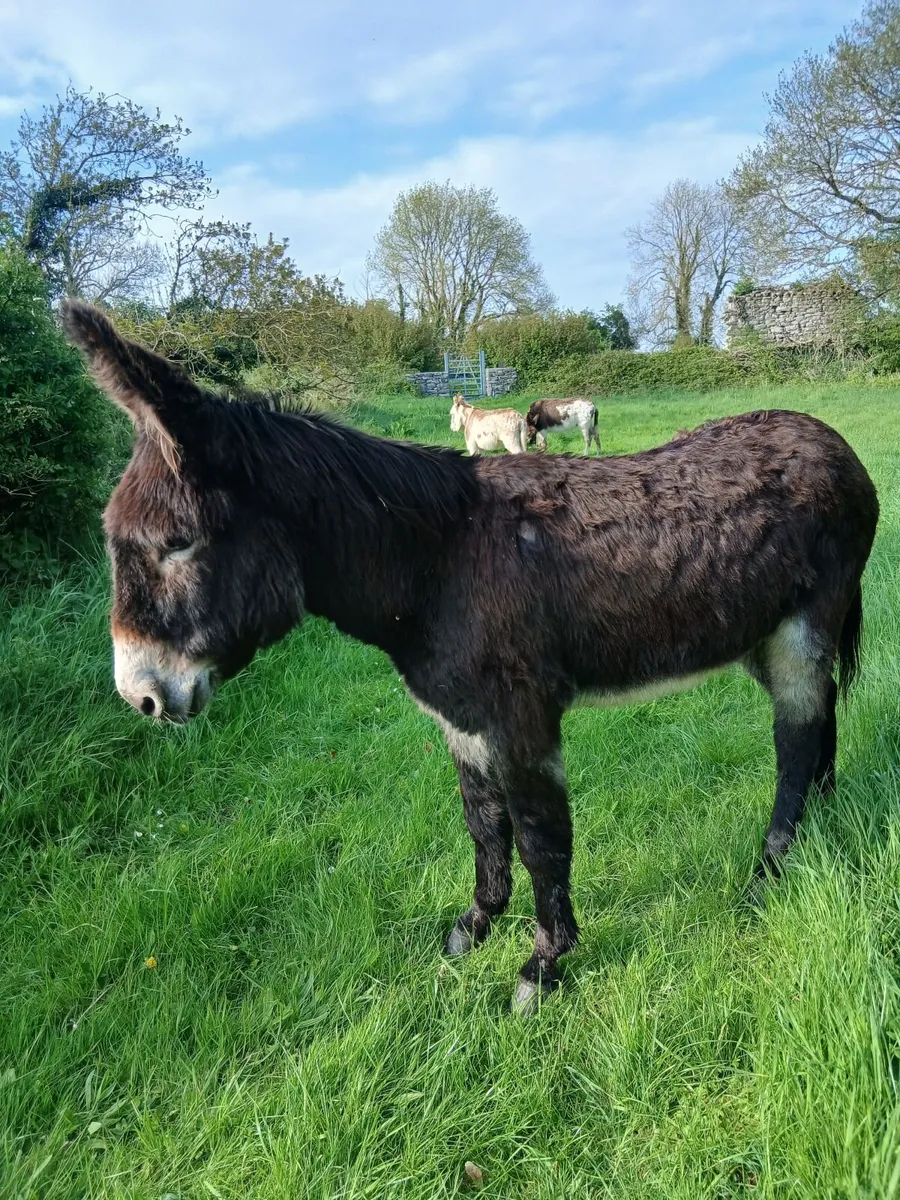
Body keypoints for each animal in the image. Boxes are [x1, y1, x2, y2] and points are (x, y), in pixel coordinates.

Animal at [61, 300, 879, 1013]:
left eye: (176, 545)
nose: (138, 696)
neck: (433, 559)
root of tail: (830, 436)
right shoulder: (460, 716)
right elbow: (485, 824)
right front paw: (477, 924)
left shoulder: (521, 720)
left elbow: (543, 839)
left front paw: (543, 964)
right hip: (767, 637)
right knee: (822, 721)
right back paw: (821, 822)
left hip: (803, 628)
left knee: (794, 743)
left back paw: (770, 871)